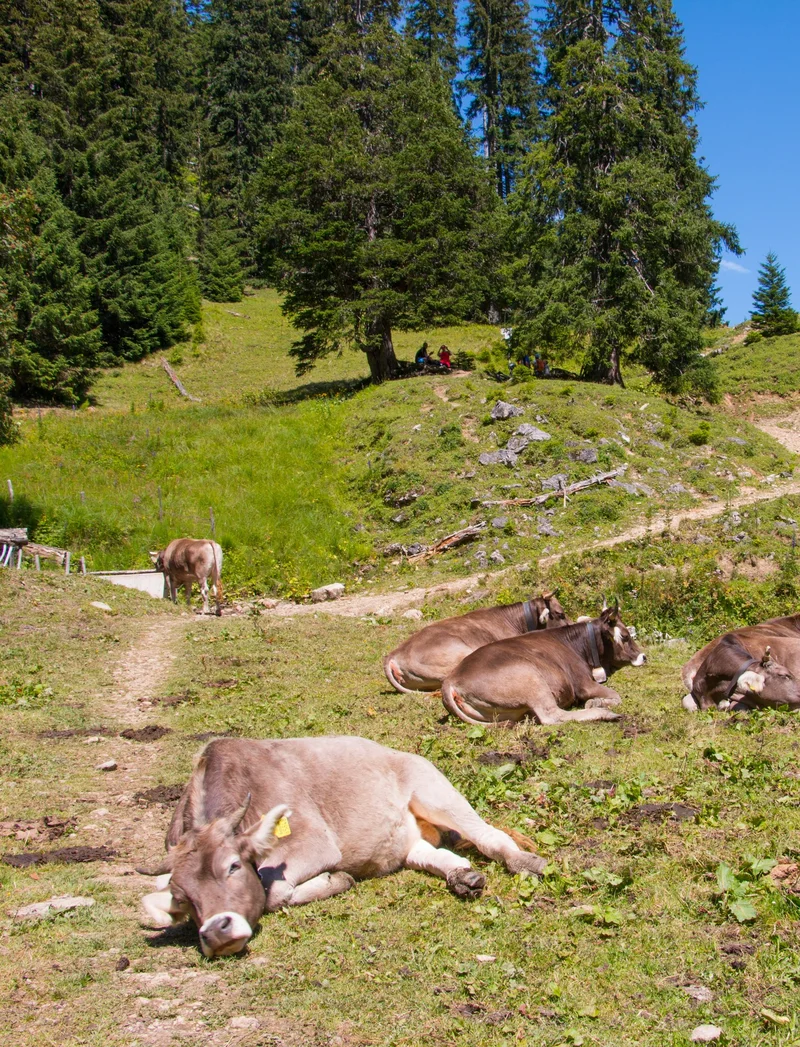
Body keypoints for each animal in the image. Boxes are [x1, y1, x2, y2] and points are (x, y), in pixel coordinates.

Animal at [139, 736, 548, 957]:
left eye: (233, 866)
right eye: (184, 898)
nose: (217, 933)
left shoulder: (314, 843)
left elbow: (274, 892)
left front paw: (336, 880)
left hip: (434, 789)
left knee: (487, 836)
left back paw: (526, 862)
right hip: (403, 839)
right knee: (435, 854)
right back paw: (463, 877)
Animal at [440, 606, 645, 726]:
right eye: (625, 636)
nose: (643, 656)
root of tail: (451, 679)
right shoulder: (583, 684)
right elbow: (616, 696)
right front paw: (595, 702)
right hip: (530, 677)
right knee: (551, 715)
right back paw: (606, 713)